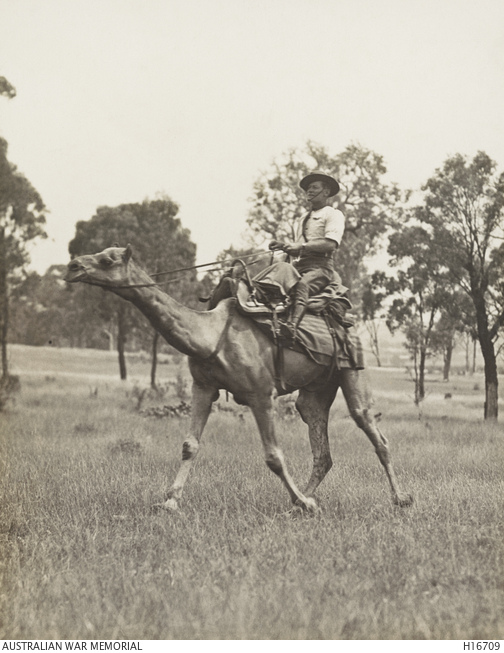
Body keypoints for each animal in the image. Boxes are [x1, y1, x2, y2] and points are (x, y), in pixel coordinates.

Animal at [65, 245, 413, 513]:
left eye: (107, 259)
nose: (72, 265)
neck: (209, 334)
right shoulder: (203, 386)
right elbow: (189, 445)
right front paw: (169, 502)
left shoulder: (261, 392)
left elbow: (273, 456)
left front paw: (305, 504)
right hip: (315, 391)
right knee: (322, 450)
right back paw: (301, 501)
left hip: (353, 370)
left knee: (374, 432)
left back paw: (400, 499)